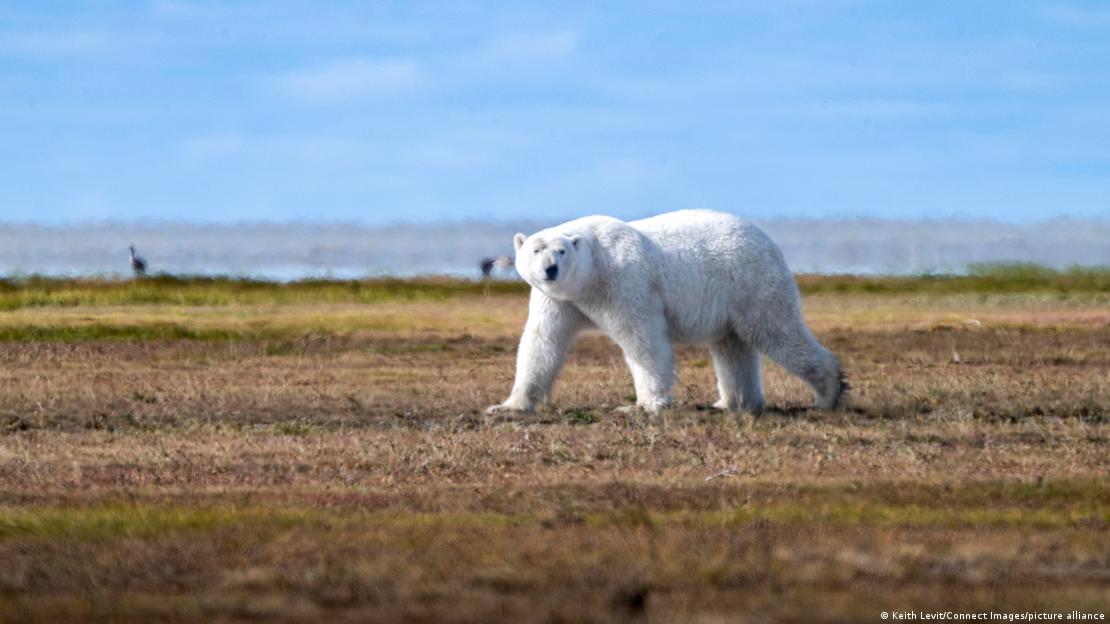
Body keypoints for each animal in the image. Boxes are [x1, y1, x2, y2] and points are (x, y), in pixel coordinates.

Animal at [485, 209, 845, 415]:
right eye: (536, 250)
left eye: (561, 251)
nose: (551, 270)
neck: (594, 272)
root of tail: (769, 241)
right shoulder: (557, 300)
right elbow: (542, 342)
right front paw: (507, 407)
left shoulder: (625, 283)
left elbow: (641, 340)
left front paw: (644, 405)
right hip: (730, 300)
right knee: (732, 347)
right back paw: (732, 403)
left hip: (750, 283)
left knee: (776, 332)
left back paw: (830, 393)